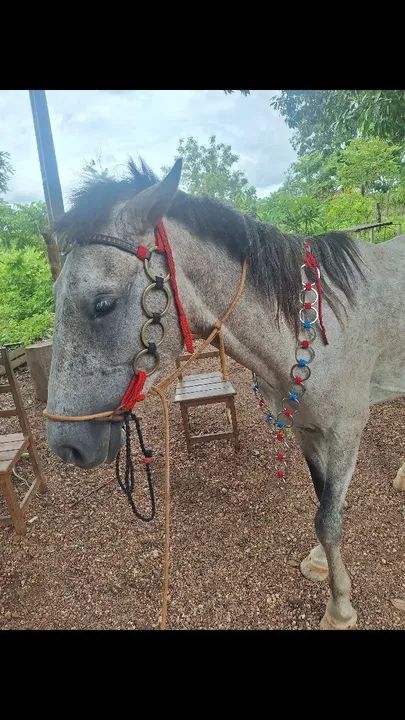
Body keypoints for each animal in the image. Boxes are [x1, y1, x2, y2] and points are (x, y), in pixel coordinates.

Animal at [45, 158, 405, 629]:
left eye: (102, 304)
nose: (65, 444)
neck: (309, 329)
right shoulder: (307, 429)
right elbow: (323, 499)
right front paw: (320, 564)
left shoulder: (345, 431)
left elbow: (328, 517)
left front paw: (340, 607)